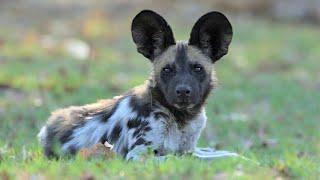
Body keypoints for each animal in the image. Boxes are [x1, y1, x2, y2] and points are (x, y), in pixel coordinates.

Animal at [38, 9, 232, 160]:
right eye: (167, 70)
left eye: (197, 68)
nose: (183, 91)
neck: (181, 119)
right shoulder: (139, 155)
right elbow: (186, 158)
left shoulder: (189, 149)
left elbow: (219, 154)